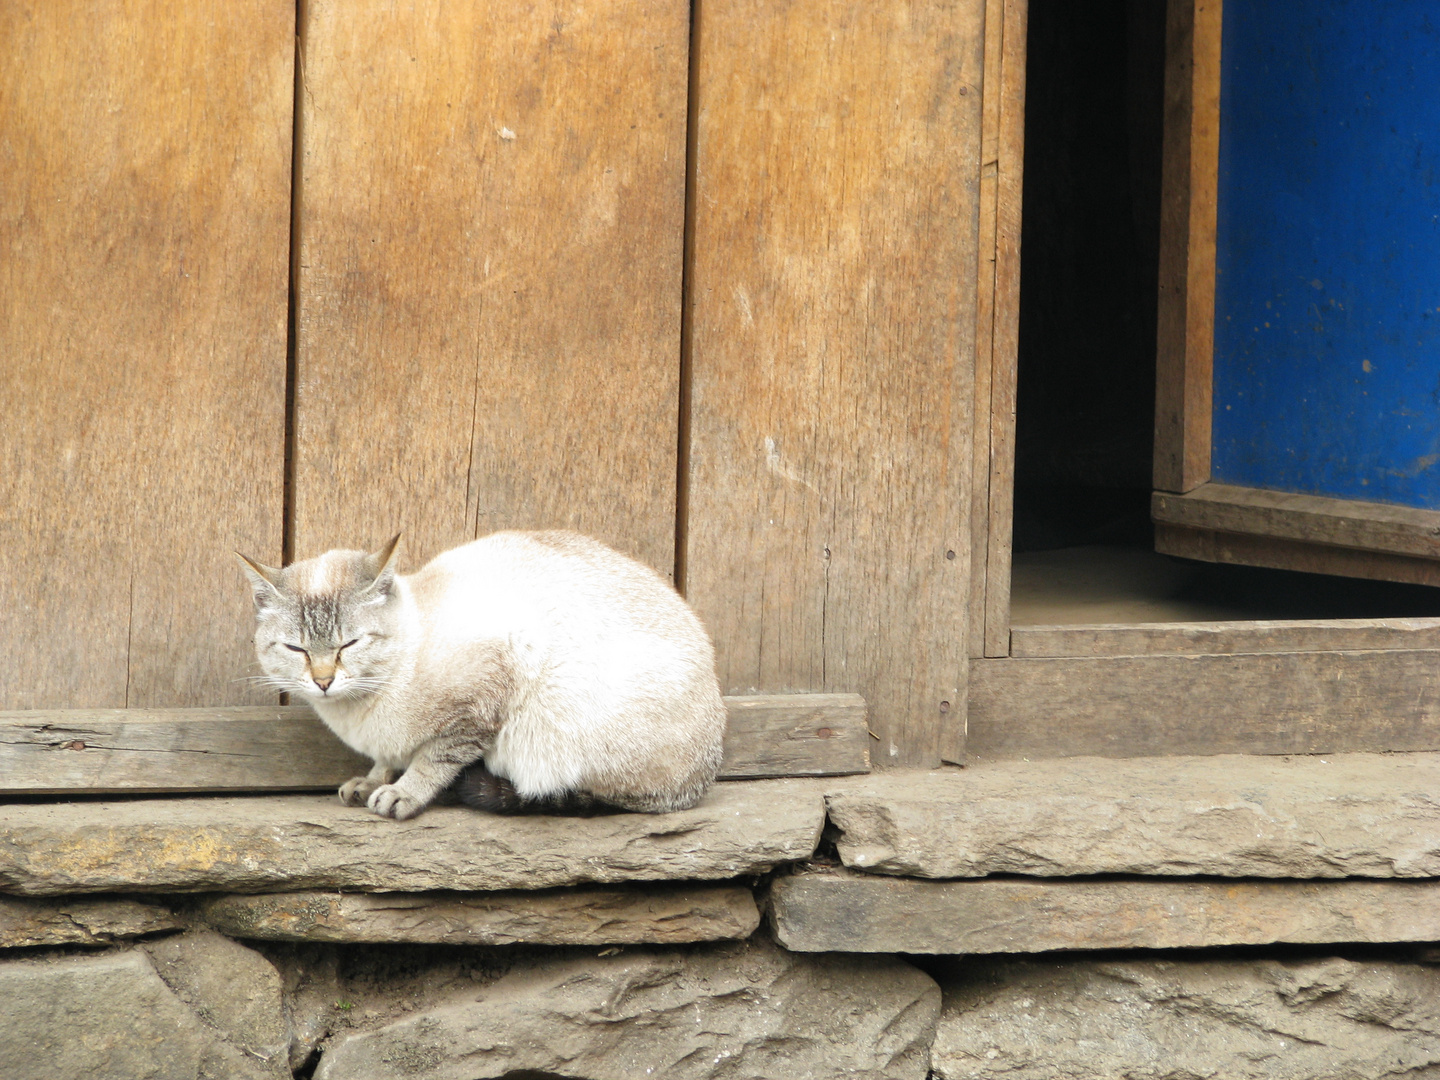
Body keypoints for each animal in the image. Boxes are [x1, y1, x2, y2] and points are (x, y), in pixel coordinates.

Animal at [241, 529, 731, 817]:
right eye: (297, 649)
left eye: (349, 645)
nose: (323, 681)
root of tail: (702, 779)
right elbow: (385, 761)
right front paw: (371, 781)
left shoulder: (482, 699)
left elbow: (431, 762)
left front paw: (401, 794)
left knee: (599, 797)